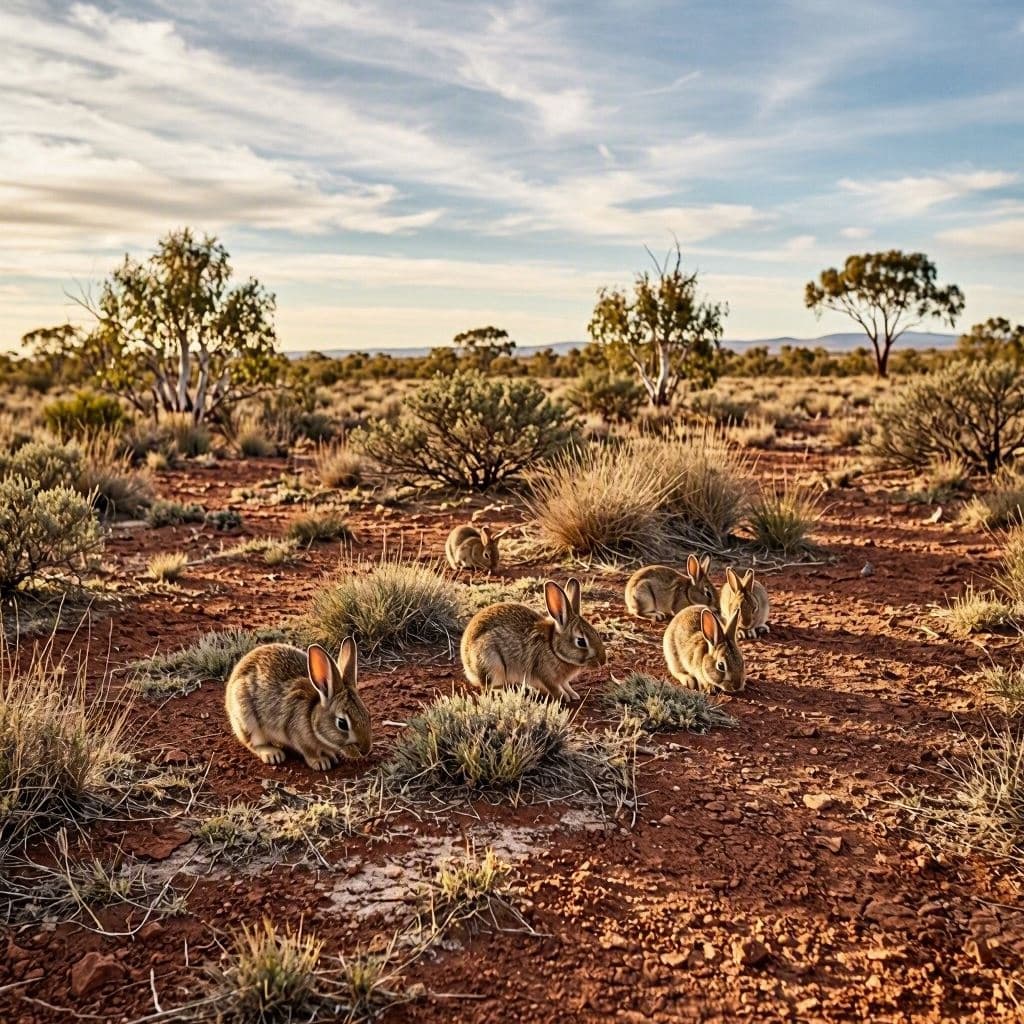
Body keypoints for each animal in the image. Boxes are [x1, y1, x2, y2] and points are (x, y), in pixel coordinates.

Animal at [224, 637, 372, 770]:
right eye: (342, 723)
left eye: (368, 714)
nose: (366, 751)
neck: (312, 716)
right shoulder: (298, 736)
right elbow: (309, 752)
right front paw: (320, 762)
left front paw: (331, 755)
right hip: (247, 719)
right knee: (252, 743)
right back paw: (272, 754)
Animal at [460, 577, 607, 701]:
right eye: (581, 642)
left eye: (596, 633)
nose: (603, 661)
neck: (553, 648)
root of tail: (468, 665)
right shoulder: (545, 675)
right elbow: (554, 688)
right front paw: (564, 697)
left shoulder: (562, 680)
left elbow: (566, 685)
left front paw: (573, 694)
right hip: (491, 663)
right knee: (488, 687)